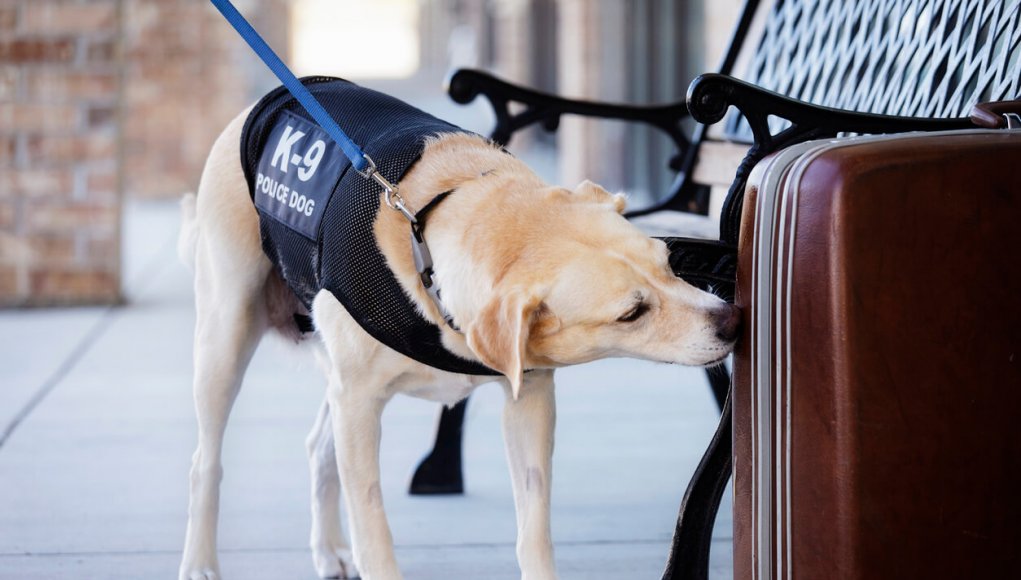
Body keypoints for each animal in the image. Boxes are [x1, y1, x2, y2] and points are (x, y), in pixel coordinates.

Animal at [175, 104, 735, 580]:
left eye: (668, 264)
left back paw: (329, 549)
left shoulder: (529, 397)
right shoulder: (358, 403)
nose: (732, 320)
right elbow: (373, 527)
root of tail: (259, 107)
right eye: (632, 313)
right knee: (205, 463)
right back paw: (200, 562)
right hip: (227, 336)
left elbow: (534, 527)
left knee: (318, 448)